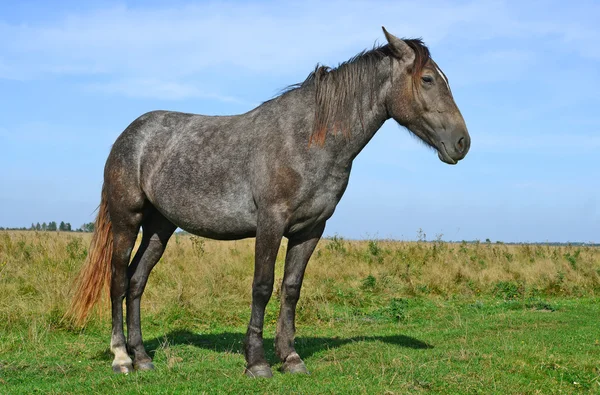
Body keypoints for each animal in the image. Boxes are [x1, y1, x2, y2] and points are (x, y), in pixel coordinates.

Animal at [65, 26, 468, 378]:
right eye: (428, 79)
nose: (462, 143)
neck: (307, 139)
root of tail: (130, 134)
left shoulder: (310, 230)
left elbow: (291, 288)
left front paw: (290, 357)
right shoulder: (270, 223)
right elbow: (262, 286)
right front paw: (257, 362)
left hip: (160, 227)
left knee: (137, 281)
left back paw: (144, 357)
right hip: (127, 220)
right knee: (118, 280)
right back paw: (122, 358)